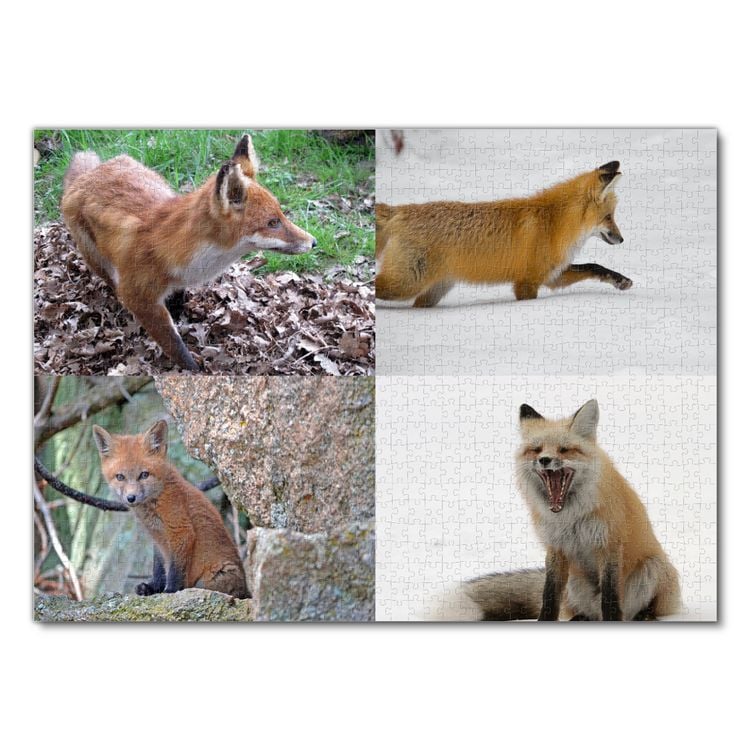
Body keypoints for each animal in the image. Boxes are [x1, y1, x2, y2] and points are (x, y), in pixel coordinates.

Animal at [61, 134, 316, 371]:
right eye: (272, 223)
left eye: (281, 215)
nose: (313, 242)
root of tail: (90, 172)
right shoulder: (139, 296)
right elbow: (175, 345)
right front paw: (194, 371)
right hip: (96, 259)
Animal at [93, 419, 249, 599]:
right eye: (120, 477)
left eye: (144, 475)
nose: (131, 498)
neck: (156, 500)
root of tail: (247, 590)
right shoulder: (158, 540)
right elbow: (159, 569)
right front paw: (153, 588)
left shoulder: (181, 531)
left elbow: (175, 571)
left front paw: (171, 591)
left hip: (212, 577)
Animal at [375, 161, 632, 307]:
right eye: (609, 217)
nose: (622, 239)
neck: (555, 223)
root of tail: (400, 210)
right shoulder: (526, 283)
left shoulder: (552, 275)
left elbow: (593, 266)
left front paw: (620, 280)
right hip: (406, 283)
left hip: (433, 291)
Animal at [464, 400, 681, 621]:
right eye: (537, 450)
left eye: (564, 449)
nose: (544, 460)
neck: (570, 517)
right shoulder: (556, 547)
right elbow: (549, 595)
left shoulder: (609, 544)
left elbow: (610, 596)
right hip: (574, 584)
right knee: (585, 610)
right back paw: (582, 617)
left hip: (651, 568)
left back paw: (644, 615)